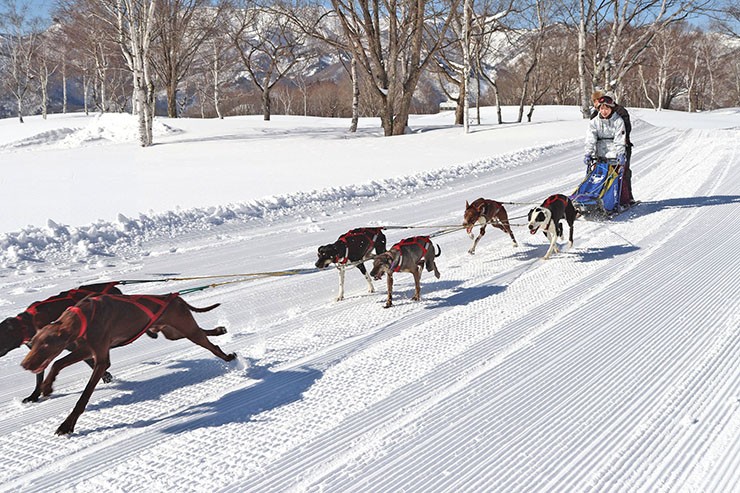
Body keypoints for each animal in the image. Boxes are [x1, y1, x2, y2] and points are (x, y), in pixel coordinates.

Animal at [20, 292, 236, 434]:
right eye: (32, 344)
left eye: (45, 346)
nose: (24, 365)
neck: (83, 316)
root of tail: (174, 297)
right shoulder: (85, 349)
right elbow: (57, 363)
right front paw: (47, 387)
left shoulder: (101, 361)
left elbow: (84, 397)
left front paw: (67, 424)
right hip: (174, 332)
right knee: (203, 333)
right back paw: (220, 330)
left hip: (186, 329)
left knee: (211, 346)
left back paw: (228, 356)